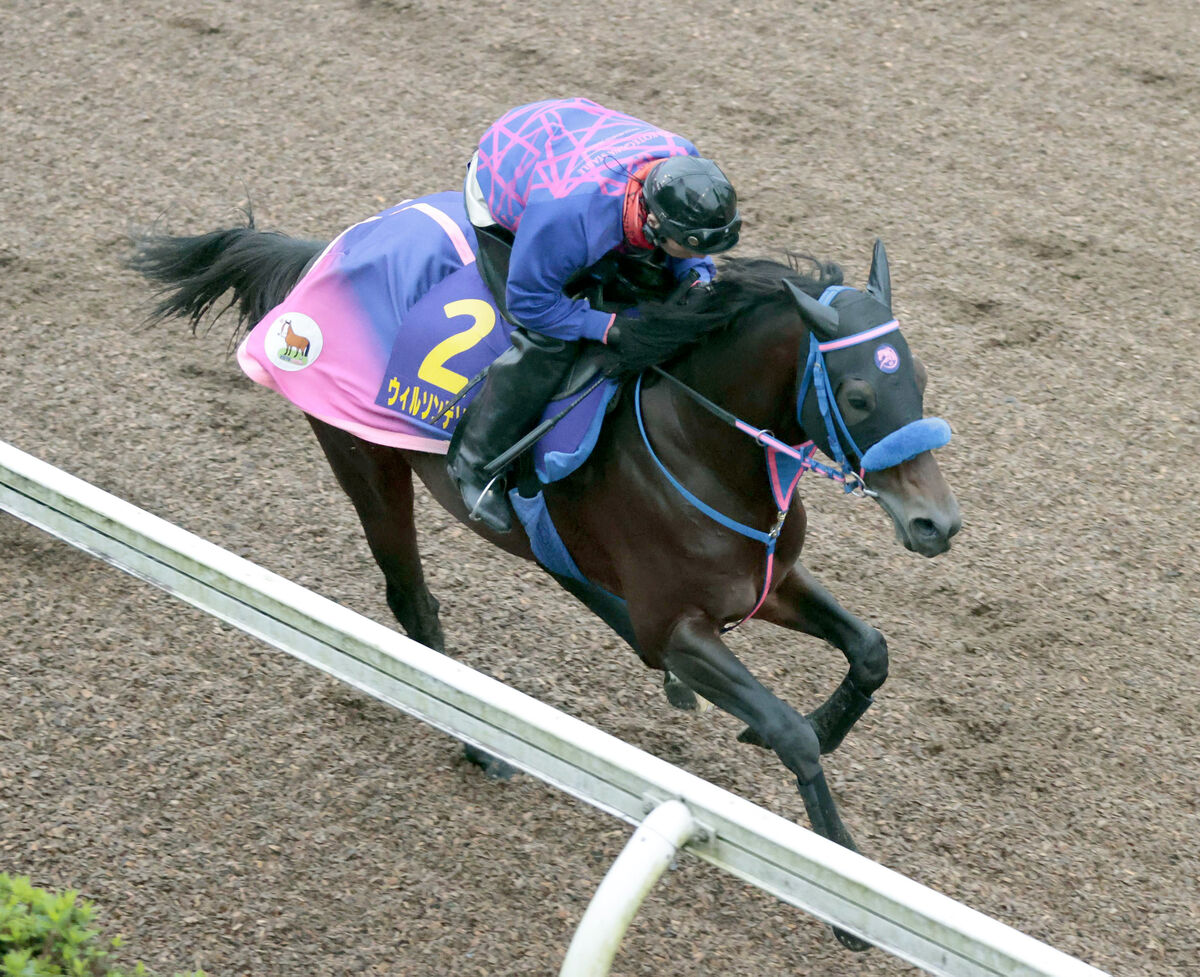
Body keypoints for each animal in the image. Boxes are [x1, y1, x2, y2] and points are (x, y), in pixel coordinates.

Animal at [131, 210, 955, 950]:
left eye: (918, 377)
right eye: (857, 395)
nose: (936, 523)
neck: (701, 448)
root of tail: (324, 253)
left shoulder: (767, 583)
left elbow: (870, 650)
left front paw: (820, 727)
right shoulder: (677, 627)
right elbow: (789, 732)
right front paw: (846, 892)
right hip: (365, 460)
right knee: (413, 603)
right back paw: (480, 740)